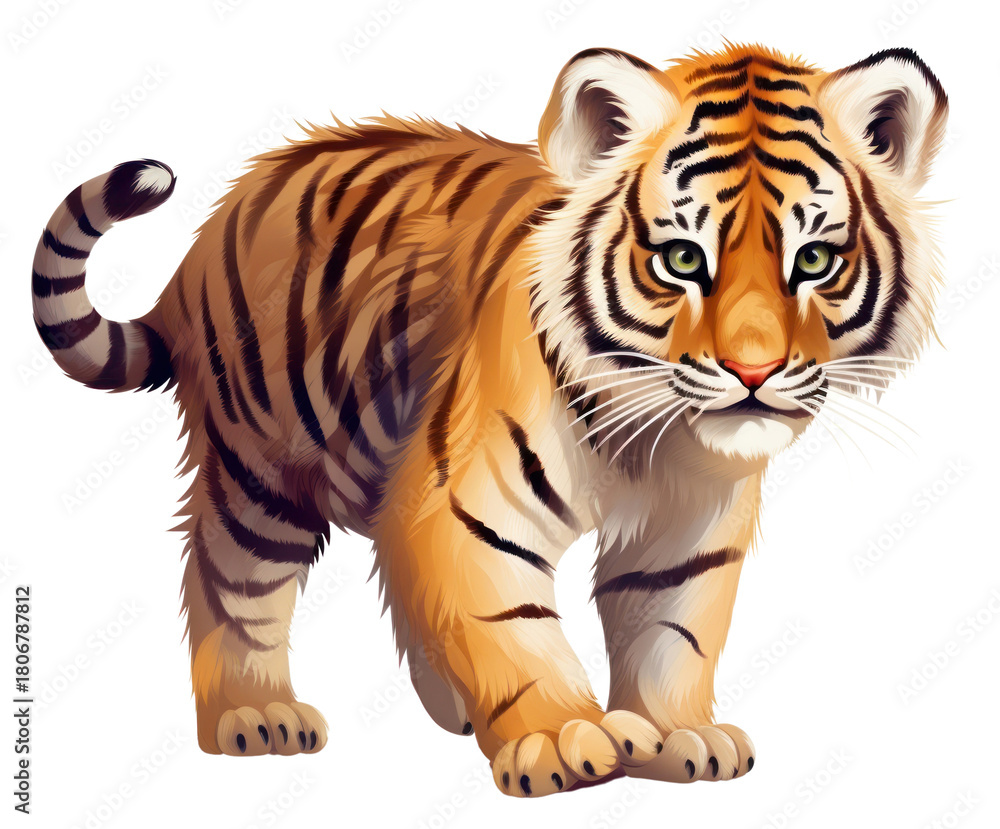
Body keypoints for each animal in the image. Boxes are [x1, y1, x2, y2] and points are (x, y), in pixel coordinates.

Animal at [31, 43, 947, 796]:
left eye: (815, 259)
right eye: (683, 259)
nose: (754, 375)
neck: (658, 434)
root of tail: (223, 213)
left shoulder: (688, 532)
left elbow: (673, 630)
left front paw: (673, 734)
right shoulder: (468, 505)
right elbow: (512, 626)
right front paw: (563, 735)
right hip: (263, 467)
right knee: (230, 579)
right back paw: (254, 716)